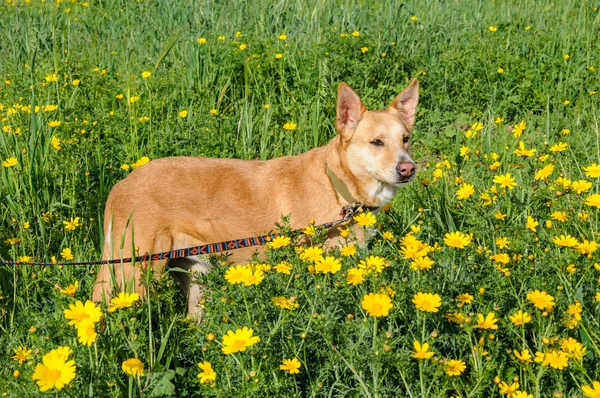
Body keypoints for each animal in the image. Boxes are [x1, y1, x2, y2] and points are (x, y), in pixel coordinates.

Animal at [92, 78, 418, 314]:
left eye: (405, 139)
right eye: (376, 142)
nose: (408, 169)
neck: (339, 188)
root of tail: (120, 185)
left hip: (195, 279)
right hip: (134, 276)